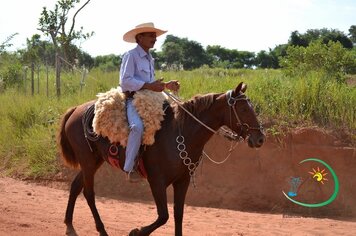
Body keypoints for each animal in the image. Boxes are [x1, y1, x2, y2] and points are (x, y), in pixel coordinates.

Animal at [57, 82, 264, 235]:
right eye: (243, 109)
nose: (260, 138)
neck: (180, 132)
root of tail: (76, 109)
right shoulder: (157, 181)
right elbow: (163, 216)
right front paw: (137, 232)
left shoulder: (182, 181)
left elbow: (178, 215)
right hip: (87, 161)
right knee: (88, 193)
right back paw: (101, 229)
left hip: (94, 161)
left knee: (76, 186)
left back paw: (69, 224)